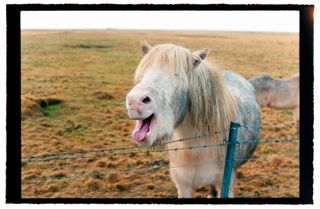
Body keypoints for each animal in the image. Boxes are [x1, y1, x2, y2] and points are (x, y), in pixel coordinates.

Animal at [125, 41, 260, 198]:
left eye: (177, 75)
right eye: (143, 74)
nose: (135, 101)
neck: (197, 146)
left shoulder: (226, 182)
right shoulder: (183, 185)